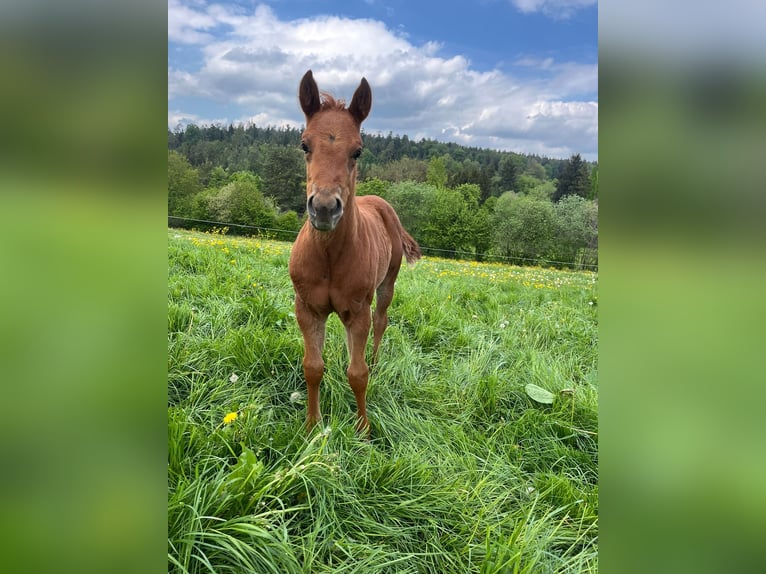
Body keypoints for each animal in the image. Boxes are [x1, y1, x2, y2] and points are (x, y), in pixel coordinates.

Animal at [288, 70, 421, 436]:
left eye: (358, 151)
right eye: (304, 145)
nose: (323, 208)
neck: (329, 257)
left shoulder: (358, 309)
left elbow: (357, 374)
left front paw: (363, 429)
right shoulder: (307, 308)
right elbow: (312, 367)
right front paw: (311, 426)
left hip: (386, 285)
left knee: (380, 322)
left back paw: (375, 362)